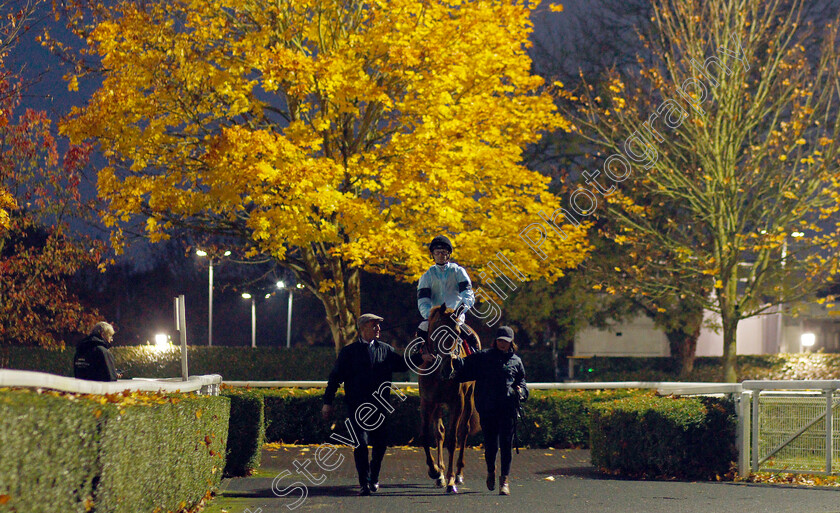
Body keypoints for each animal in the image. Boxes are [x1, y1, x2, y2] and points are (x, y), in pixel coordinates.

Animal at [418, 304, 482, 492]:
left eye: (457, 333)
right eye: (438, 332)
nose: (449, 369)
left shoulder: (457, 401)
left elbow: (453, 439)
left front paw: (451, 479)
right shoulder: (427, 401)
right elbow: (426, 435)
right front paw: (435, 471)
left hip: (469, 397)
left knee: (464, 430)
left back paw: (458, 474)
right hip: (438, 404)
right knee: (439, 432)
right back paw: (440, 474)